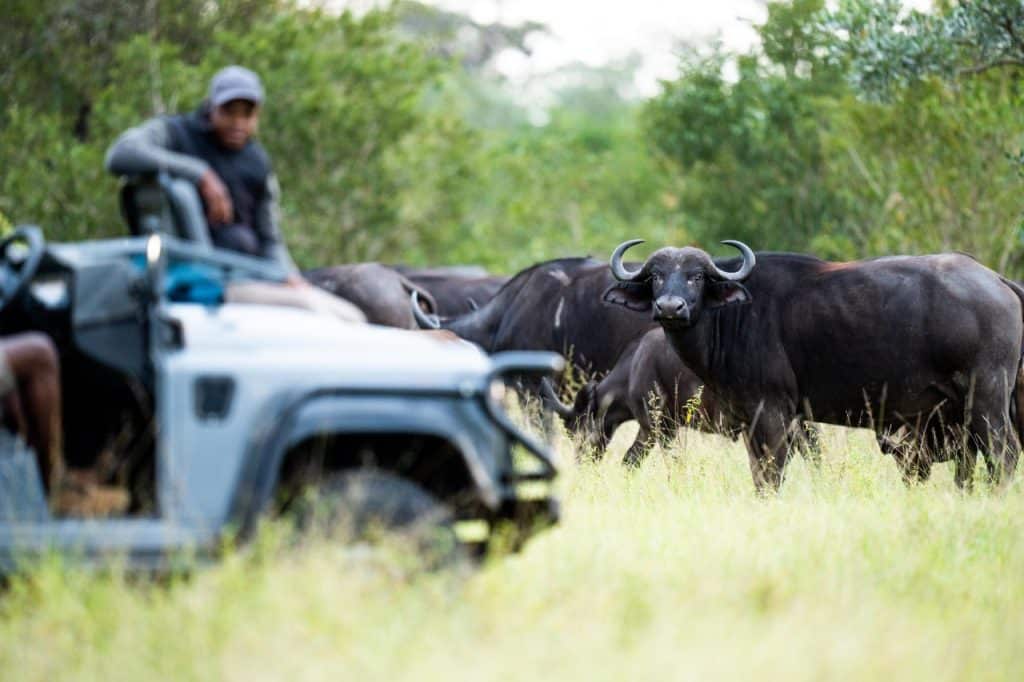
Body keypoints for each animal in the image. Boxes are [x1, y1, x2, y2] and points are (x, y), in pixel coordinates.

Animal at [602, 238, 1024, 489]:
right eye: (656, 277)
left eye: (695, 277)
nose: (670, 308)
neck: (733, 315)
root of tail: (996, 280)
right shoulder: (754, 419)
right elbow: (760, 471)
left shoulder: (773, 411)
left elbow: (772, 473)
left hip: (986, 397)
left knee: (1004, 454)